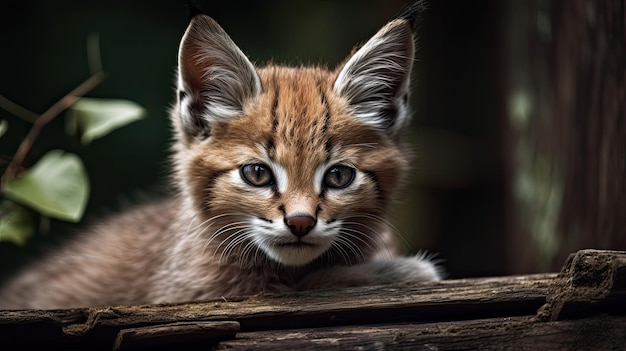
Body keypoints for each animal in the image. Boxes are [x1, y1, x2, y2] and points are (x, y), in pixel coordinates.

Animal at [0, 4, 438, 308]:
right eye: (257, 174)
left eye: (338, 177)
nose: (300, 223)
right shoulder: (192, 294)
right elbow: (304, 285)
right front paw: (400, 271)